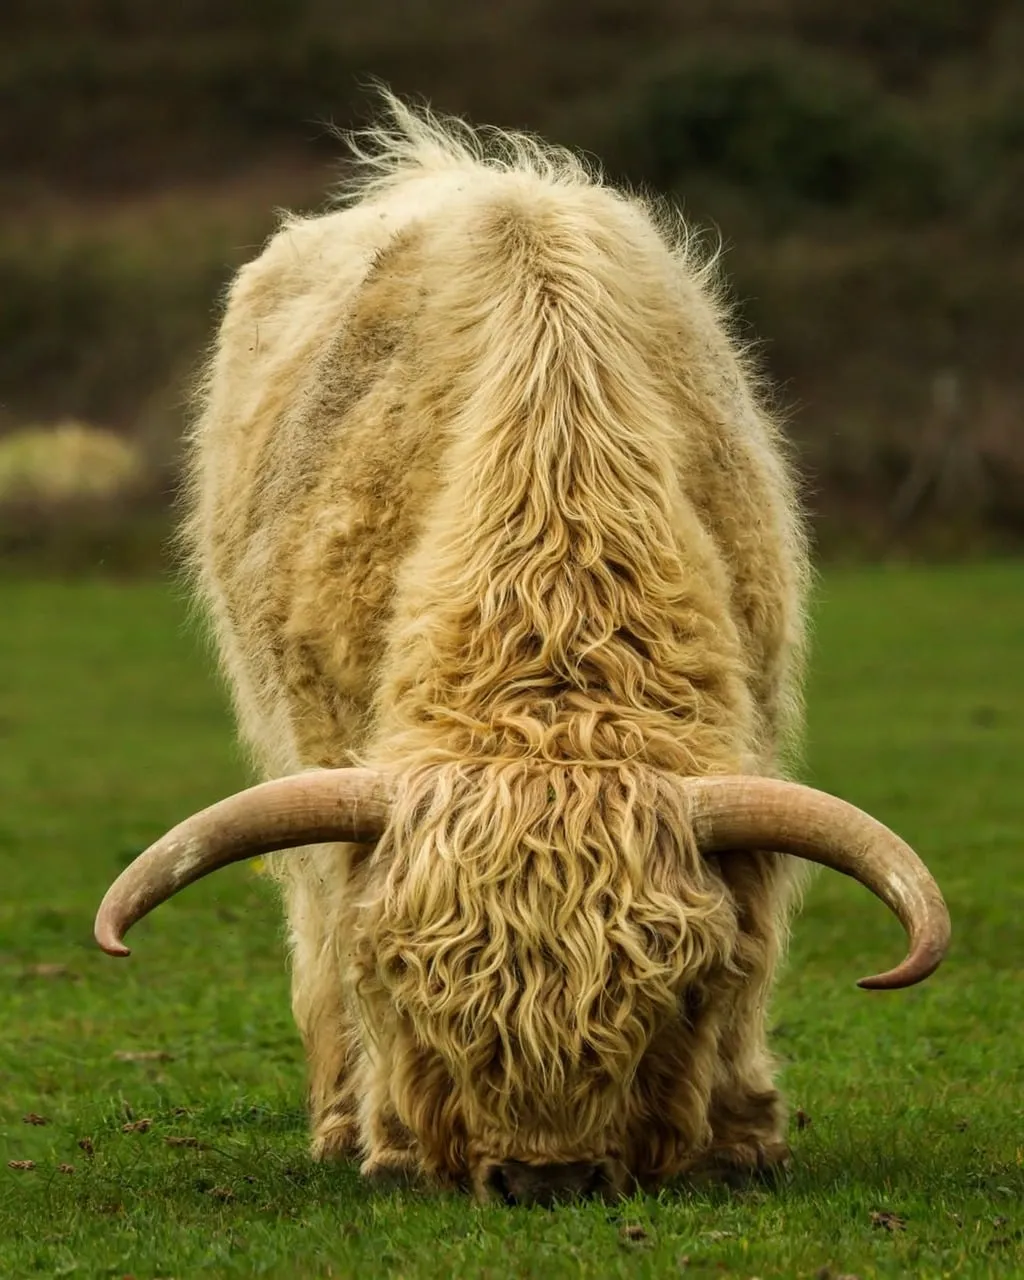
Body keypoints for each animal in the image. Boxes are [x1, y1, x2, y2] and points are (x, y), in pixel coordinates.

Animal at [95, 93, 949, 1206]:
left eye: (666, 993)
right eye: (418, 983)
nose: (548, 1176)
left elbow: (755, 934)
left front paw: (740, 1132)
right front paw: (392, 1134)